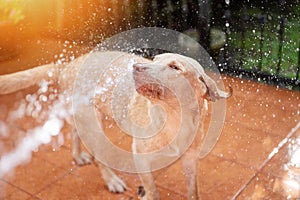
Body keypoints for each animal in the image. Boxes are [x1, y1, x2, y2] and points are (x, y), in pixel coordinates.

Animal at [0, 51, 232, 198]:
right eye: (154, 59)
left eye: (175, 67)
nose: (136, 67)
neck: (173, 118)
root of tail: (67, 67)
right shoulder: (140, 157)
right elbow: (153, 191)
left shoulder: (191, 160)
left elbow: (193, 192)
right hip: (93, 124)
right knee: (98, 156)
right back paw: (112, 180)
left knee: (75, 133)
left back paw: (78, 156)